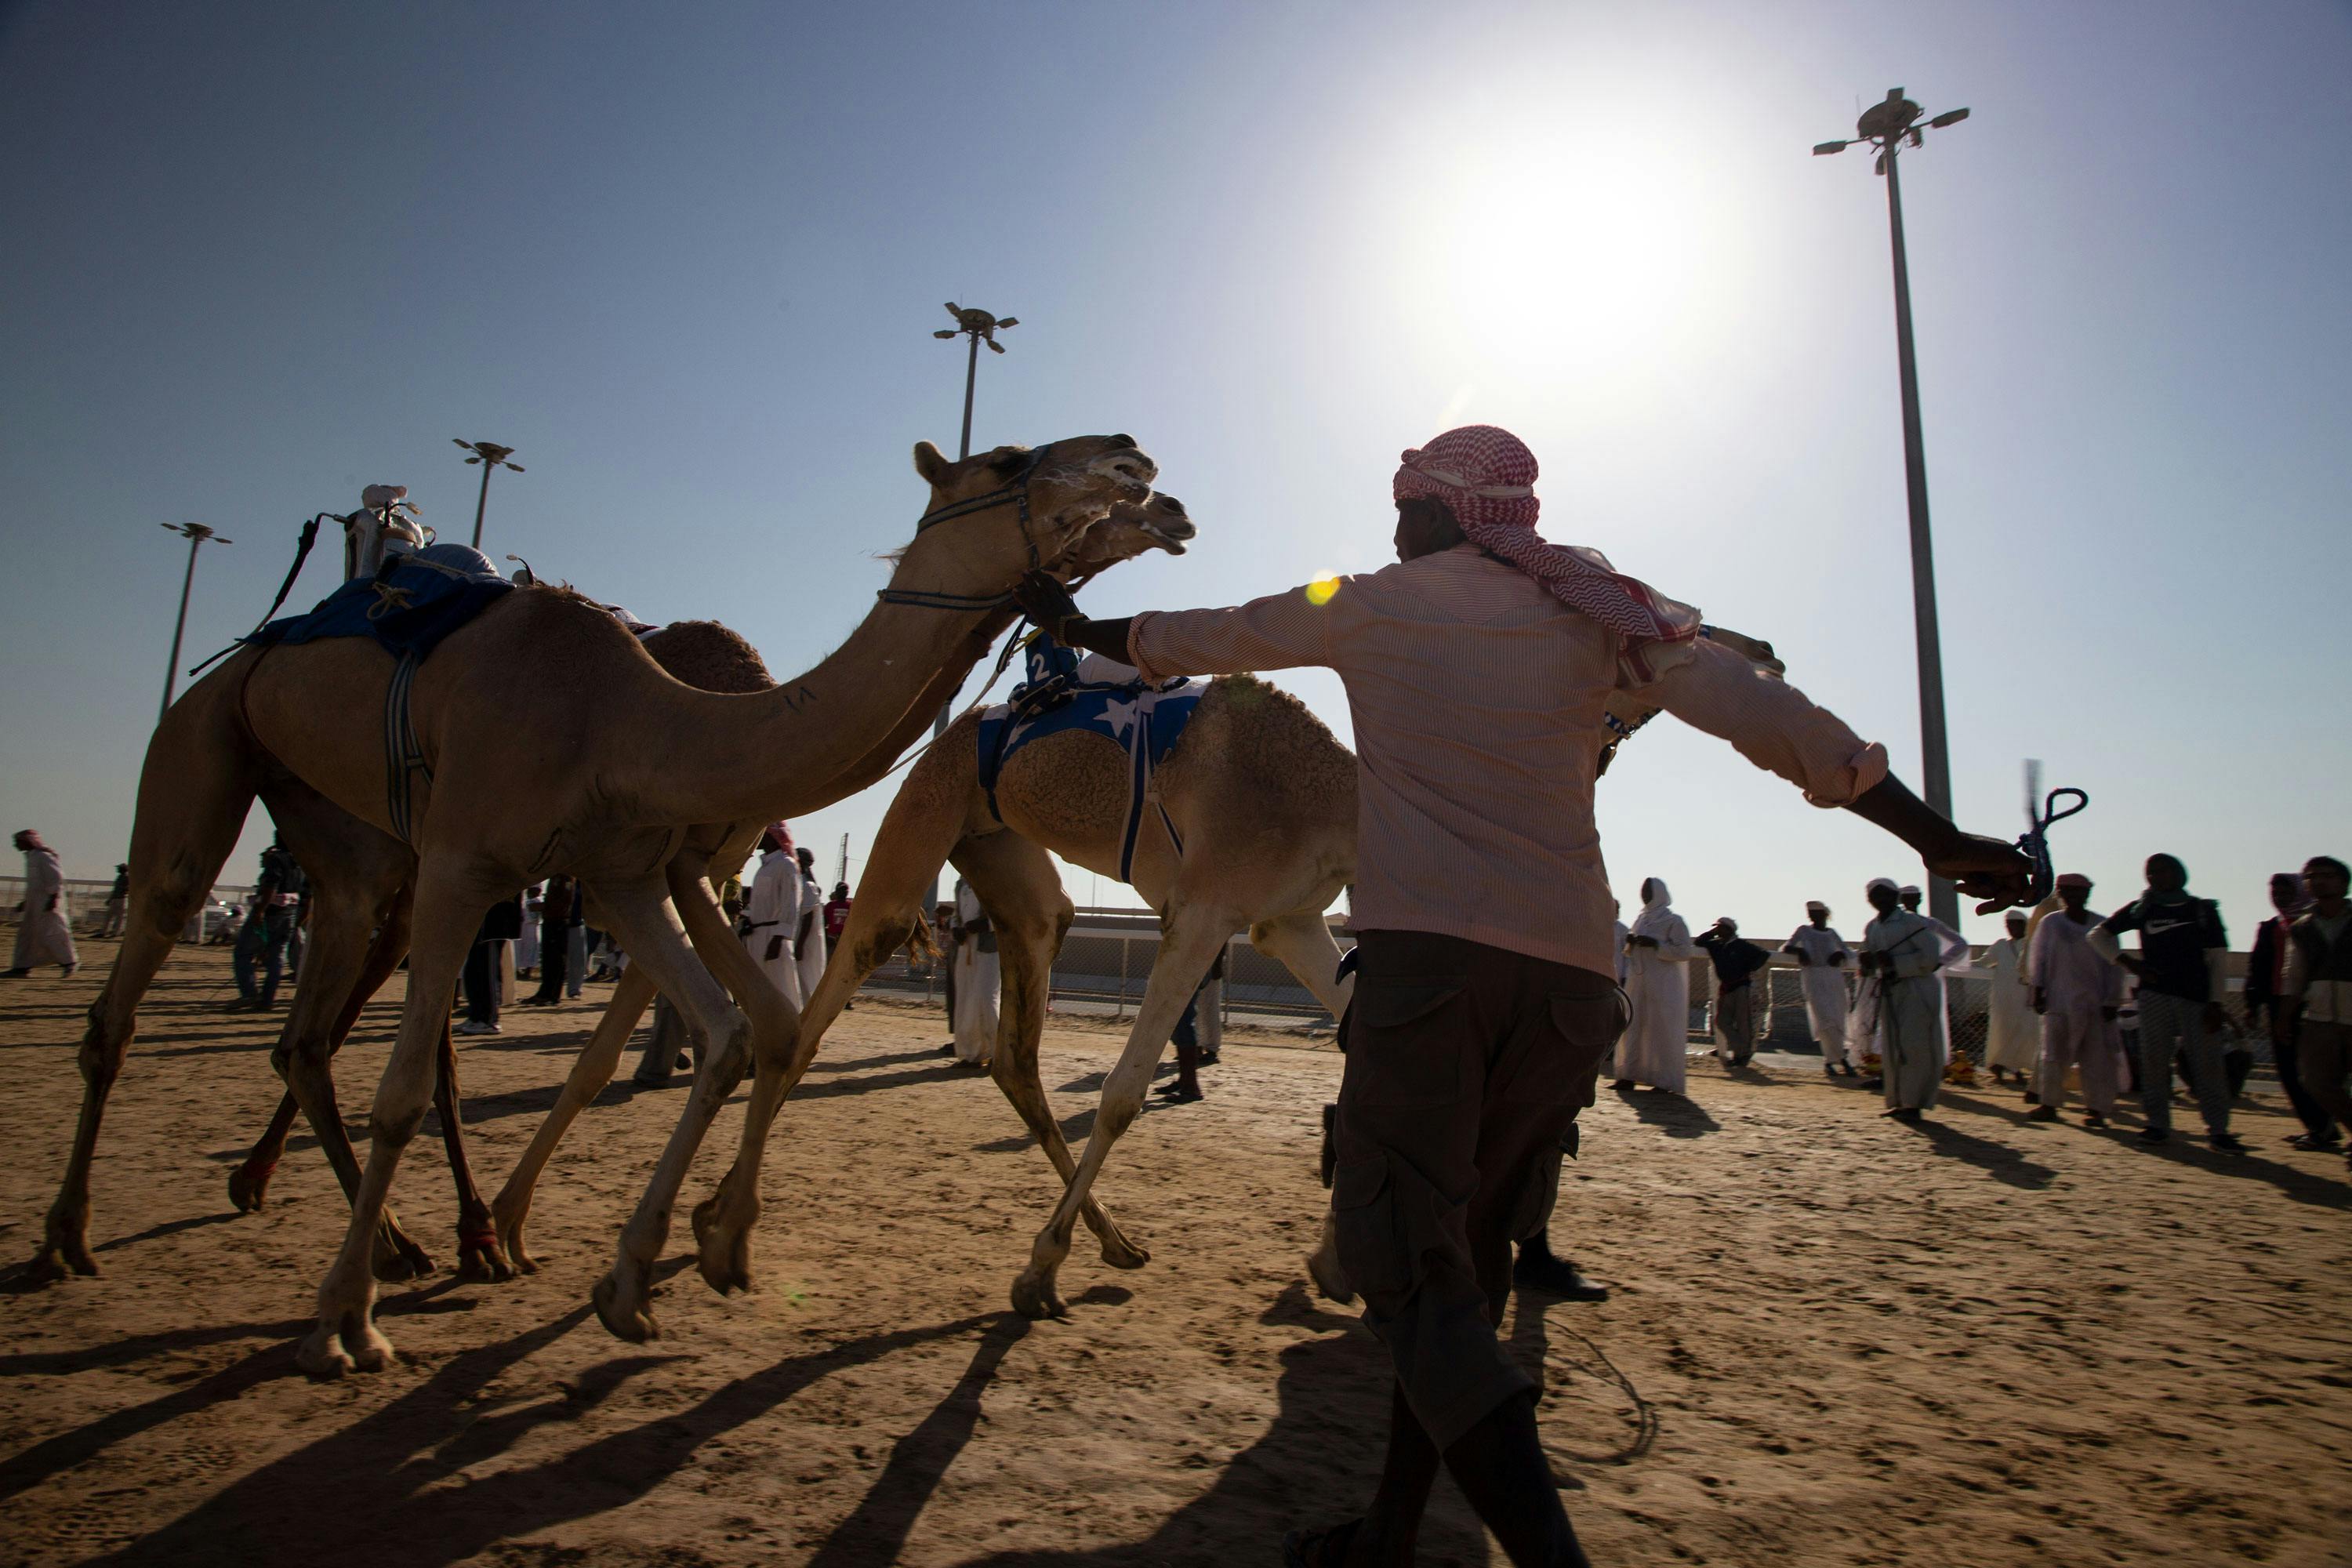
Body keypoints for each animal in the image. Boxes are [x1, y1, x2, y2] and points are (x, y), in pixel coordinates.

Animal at [36, 434, 1157, 1382]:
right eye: (1007, 458)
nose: (1137, 462)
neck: (631, 716)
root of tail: (251, 647)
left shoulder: (626, 871)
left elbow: (727, 1034)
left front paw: (634, 1273)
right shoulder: (476, 859)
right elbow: (409, 1088)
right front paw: (348, 1323)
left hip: (352, 846)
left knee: (310, 1028)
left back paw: (395, 1235)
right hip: (209, 744)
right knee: (143, 972)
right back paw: (75, 1235)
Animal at [790, 630, 1778, 1316]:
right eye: (1652, 625)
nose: (1764, 651)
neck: (1335, 799)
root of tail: (961, 725)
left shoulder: (1288, 916)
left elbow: (1366, 1054)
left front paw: (1334, 1262)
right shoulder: (1206, 908)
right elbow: (1121, 1093)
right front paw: (1033, 1272)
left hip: (1015, 874)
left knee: (1015, 1053)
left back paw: (1116, 1241)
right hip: (924, 817)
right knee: (820, 1009)